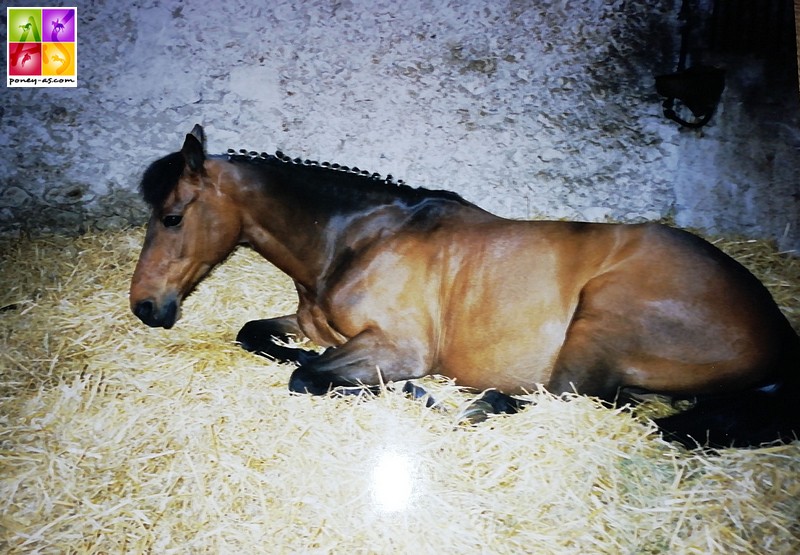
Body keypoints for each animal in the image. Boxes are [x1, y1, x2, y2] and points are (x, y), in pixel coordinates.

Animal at [128, 125, 796, 448]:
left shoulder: (398, 346)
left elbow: (307, 376)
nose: (145, 308)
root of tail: (777, 331)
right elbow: (258, 337)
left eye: (173, 216)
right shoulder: (315, 326)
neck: (358, 238)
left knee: (555, 399)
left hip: (600, 322)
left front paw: (404, 390)